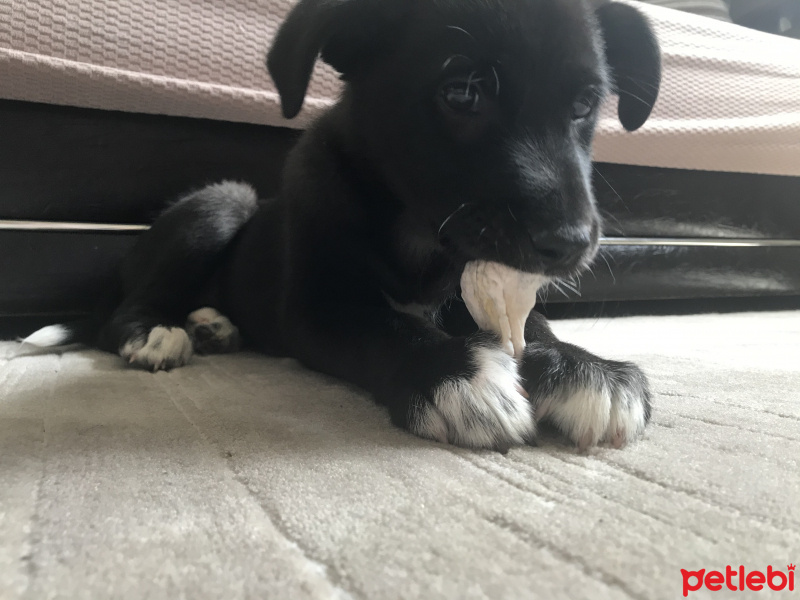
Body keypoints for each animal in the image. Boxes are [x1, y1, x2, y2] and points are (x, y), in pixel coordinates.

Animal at [32, 0, 664, 450]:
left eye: (584, 106)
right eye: (461, 93)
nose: (572, 245)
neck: (415, 238)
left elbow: (531, 326)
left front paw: (581, 367)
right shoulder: (316, 310)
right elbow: (383, 327)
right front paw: (452, 373)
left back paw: (215, 325)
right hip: (222, 203)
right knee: (122, 314)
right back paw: (156, 333)